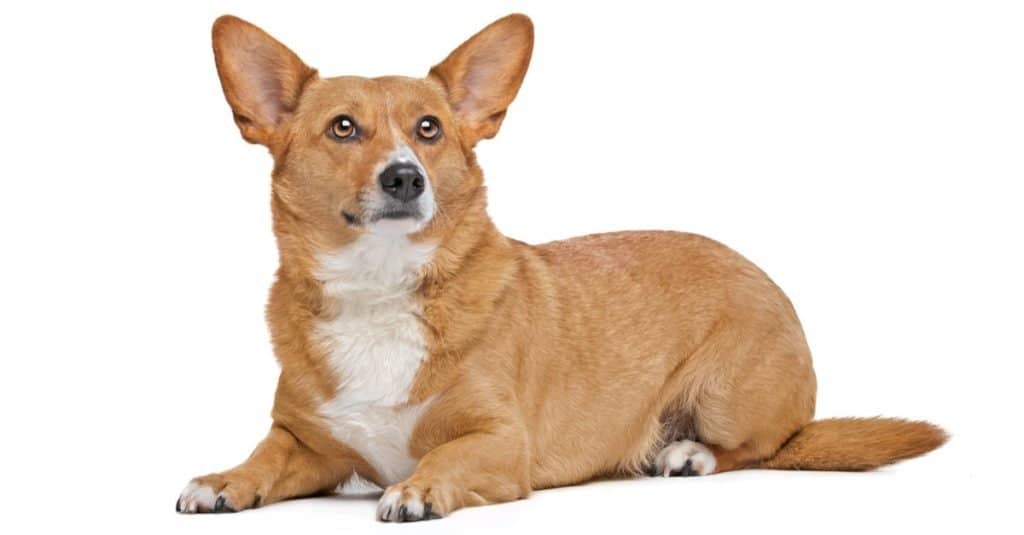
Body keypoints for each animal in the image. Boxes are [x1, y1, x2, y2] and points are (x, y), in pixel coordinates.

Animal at [174, 13, 942, 520]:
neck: (379, 286)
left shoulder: (497, 441)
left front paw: (417, 487)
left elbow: (443, 457)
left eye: (429, 129)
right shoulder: (306, 443)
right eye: (342, 128)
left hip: (727, 398)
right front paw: (223, 478)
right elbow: (264, 458)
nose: (405, 177)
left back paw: (687, 453)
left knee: (761, 446)